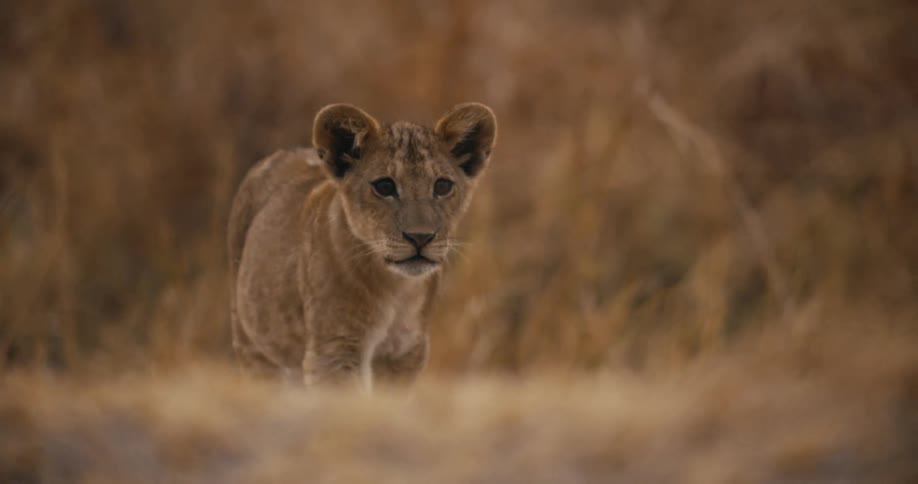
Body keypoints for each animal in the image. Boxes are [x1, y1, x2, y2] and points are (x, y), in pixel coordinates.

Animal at [227, 103, 497, 391]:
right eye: (385, 186)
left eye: (442, 186)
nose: (420, 237)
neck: (396, 290)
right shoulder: (334, 349)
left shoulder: (404, 352)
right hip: (252, 343)